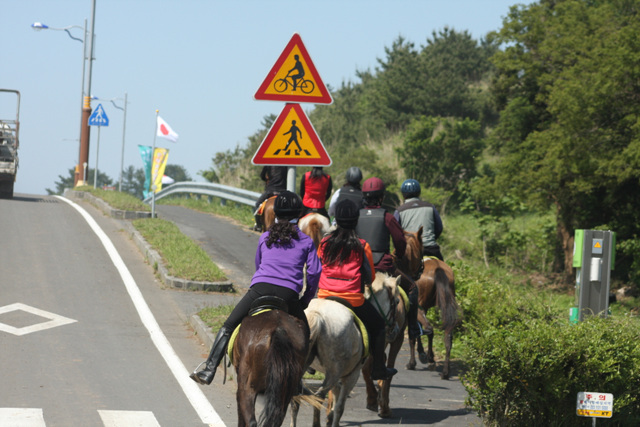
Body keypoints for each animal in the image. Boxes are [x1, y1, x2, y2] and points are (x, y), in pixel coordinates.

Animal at [290, 298, 366, 427]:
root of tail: (317, 314)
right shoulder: (352, 375)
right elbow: (340, 407)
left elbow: (336, 393)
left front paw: (330, 417)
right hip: (336, 371)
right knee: (319, 396)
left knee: (295, 397)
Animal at [396, 227, 459, 380]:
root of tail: (438, 269)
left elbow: (413, 334)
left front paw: (413, 362)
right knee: (447, 335)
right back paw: (444, 371)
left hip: (419, 308)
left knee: (428, 329)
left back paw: (429, 359)